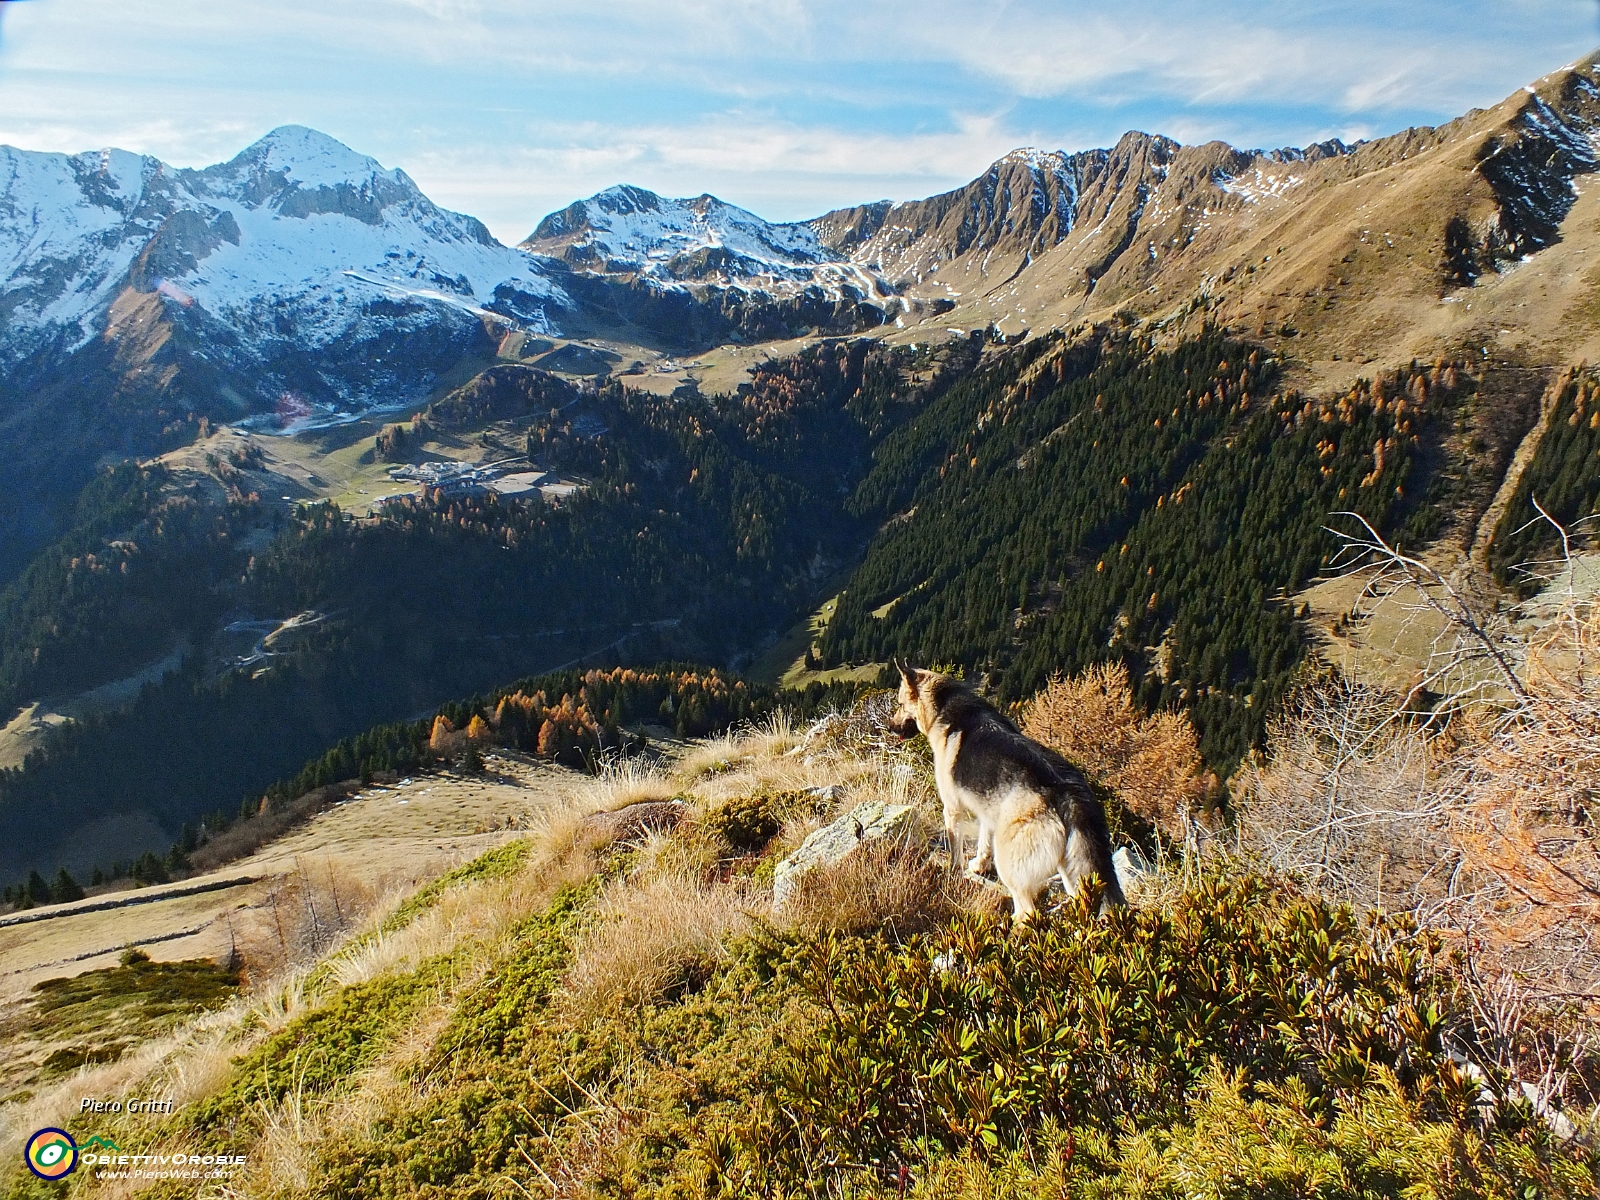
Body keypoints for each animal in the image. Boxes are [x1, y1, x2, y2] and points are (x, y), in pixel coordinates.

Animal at [889, 668, 1126, 921]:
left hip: (1010, 863)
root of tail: (1066, 793)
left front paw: (954, 873)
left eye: (901, 704)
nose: (890, 727)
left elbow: (955, 851)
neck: (944, 708)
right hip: (1073, 873)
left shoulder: (952, 809)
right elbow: (983, 843)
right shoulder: (988, 810)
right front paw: (979, 866)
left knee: (1027, 911)